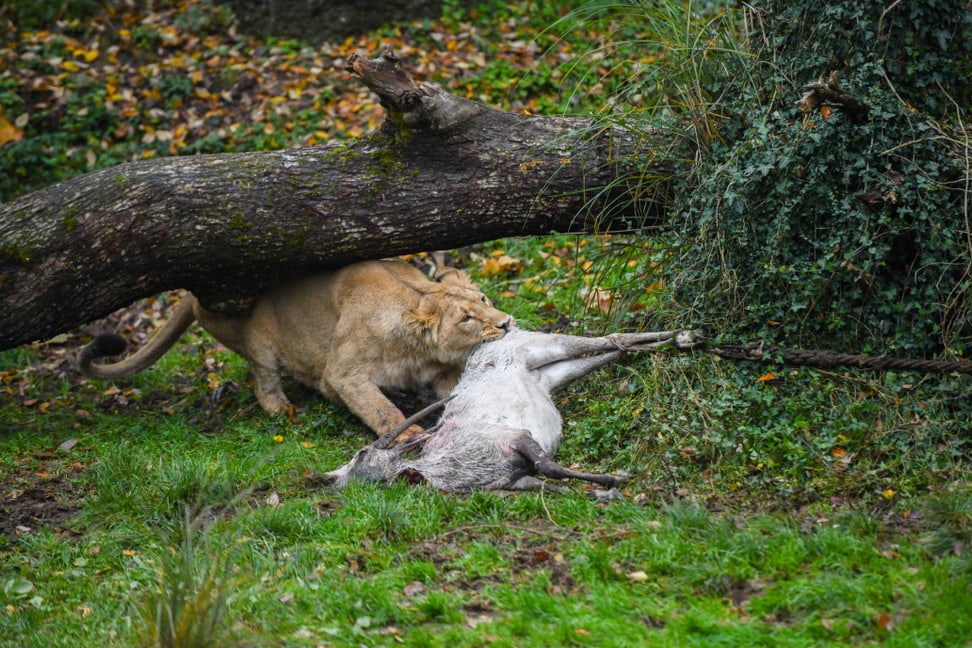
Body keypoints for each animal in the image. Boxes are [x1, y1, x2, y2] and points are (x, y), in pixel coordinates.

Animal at [78, 260, 513, 436]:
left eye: (484, 299)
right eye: (466, 319)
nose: (507, 323)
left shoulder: (440, 372)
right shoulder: (345, 371)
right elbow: (381, 410)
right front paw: (406, 437)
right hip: (259, 344)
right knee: (265, 381)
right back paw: (281, 408)